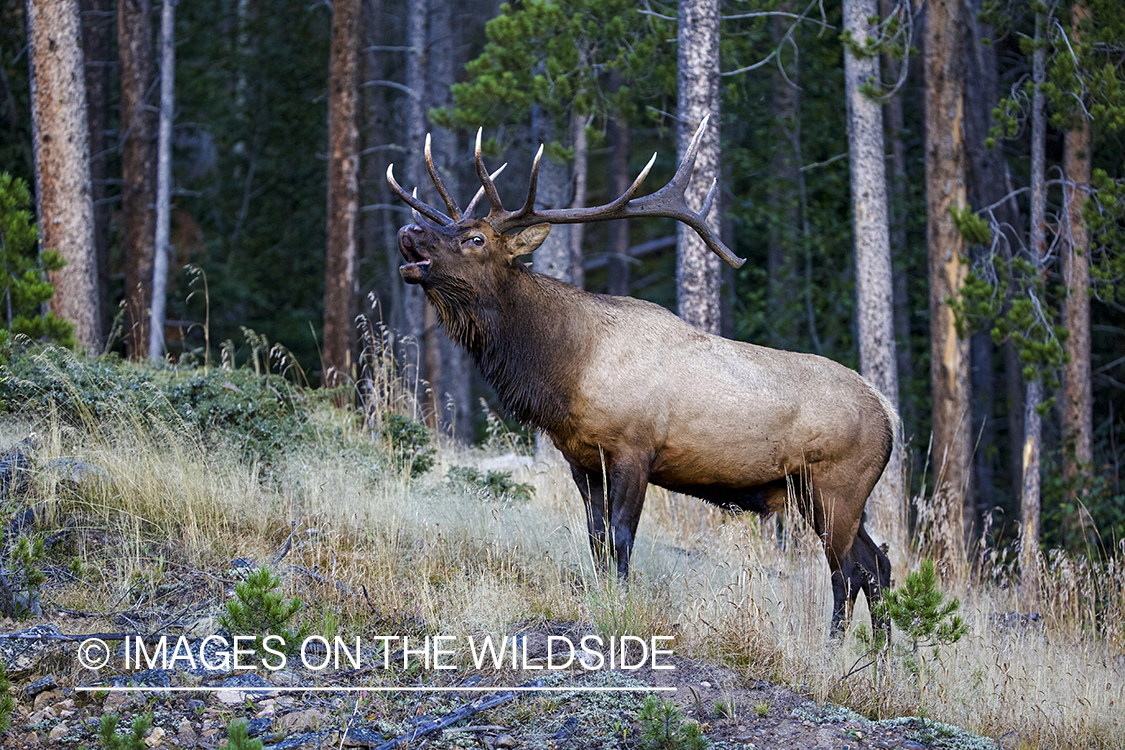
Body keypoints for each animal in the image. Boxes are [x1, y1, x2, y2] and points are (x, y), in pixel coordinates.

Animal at [387, 118, 895, 634]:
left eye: (476, 239)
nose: (409, 228)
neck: (565, 372)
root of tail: (889, 415)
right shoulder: (581, 458)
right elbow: (595, 538)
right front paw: (599, 598)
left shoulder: (635, 448)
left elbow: (622, 536)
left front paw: (623, 607)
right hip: (820, 493)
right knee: (877, 562)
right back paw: (883, 649)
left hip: (837, 484)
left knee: (846, 569)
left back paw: (835, 645)